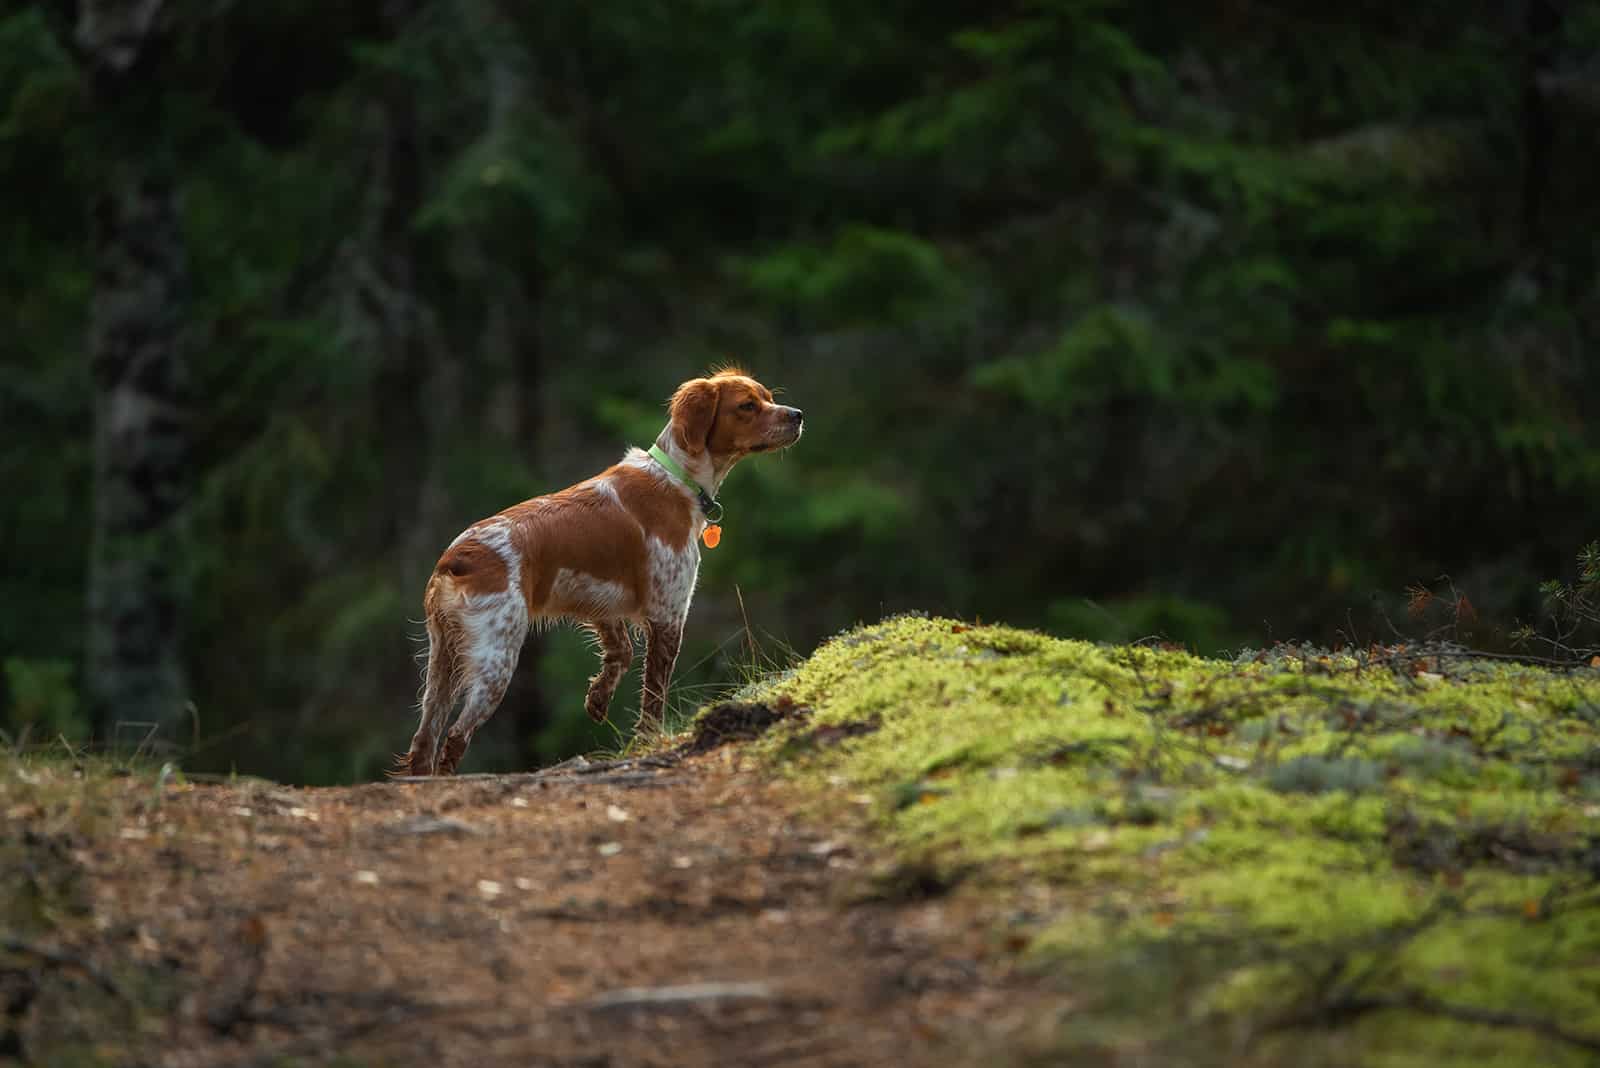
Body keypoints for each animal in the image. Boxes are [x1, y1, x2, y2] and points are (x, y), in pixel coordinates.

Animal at [400, 370, 800, 770]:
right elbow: (654, 695)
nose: (797, 415)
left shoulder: (599, 602)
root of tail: (457, 557)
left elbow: (621, 652)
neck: (676, 478)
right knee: (455, 737)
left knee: (424, 739)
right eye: (747, 405)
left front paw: (597, 697)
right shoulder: (668, 614)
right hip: (496, 658)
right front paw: (647, 740)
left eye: (768, 397)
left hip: (442, 662)